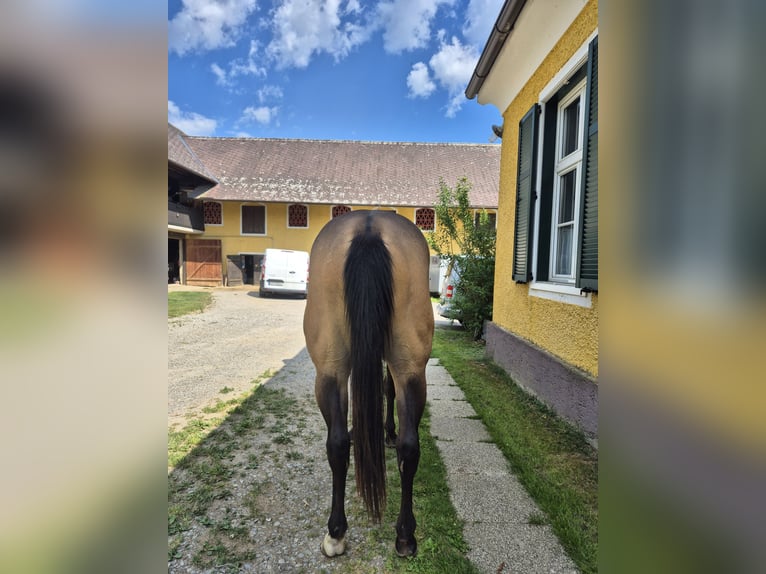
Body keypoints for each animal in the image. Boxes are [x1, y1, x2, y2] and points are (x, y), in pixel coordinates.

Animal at [303, 210, 434, 558]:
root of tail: (369, 226)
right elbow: (387, 390)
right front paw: (384, 432)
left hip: (331, 370)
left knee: (339, 444)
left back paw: (341, 532)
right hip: (406, 370)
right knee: (407, 447)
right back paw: (401, 535)